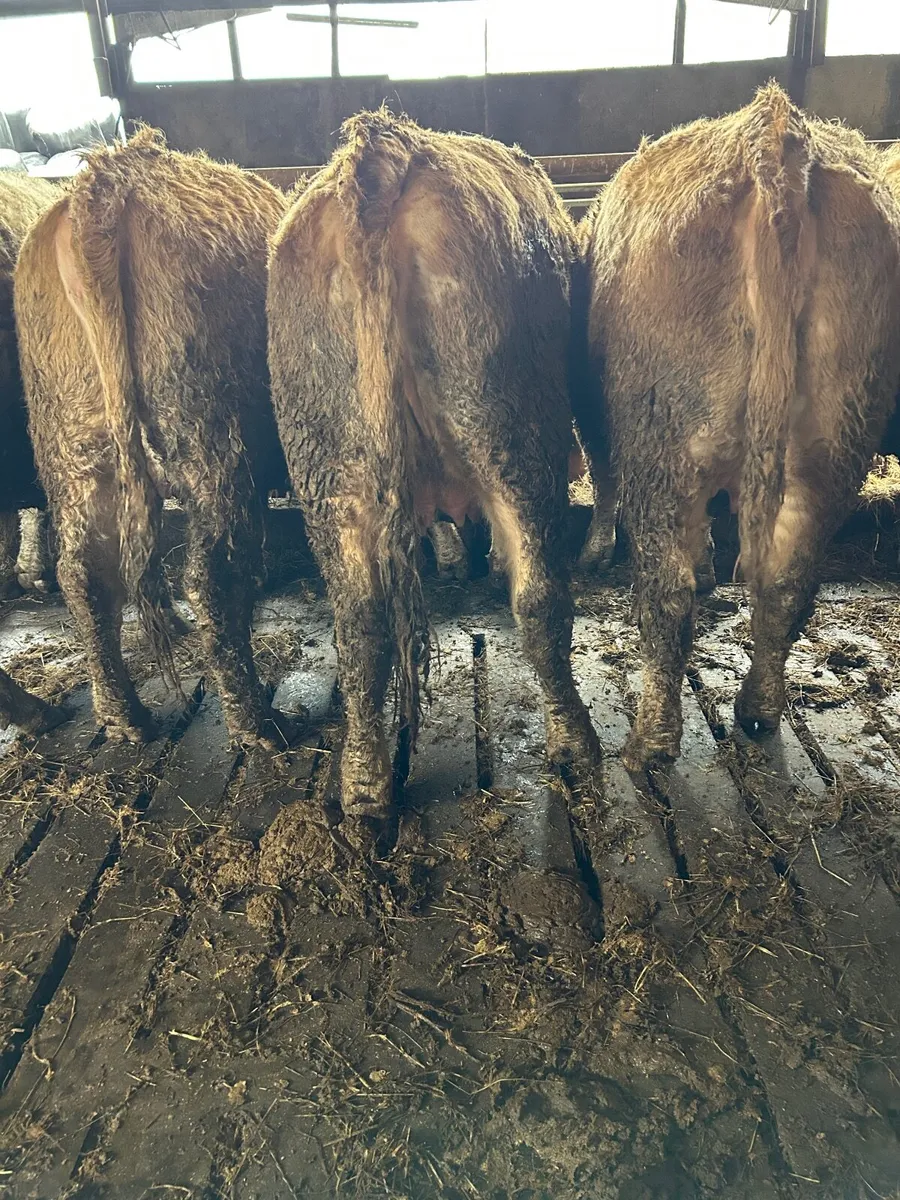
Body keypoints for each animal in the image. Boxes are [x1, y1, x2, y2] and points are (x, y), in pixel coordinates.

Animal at [14, 128, 298, 747]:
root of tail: (104, 185)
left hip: (76, 455)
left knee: (84, 575)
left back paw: (124, 716)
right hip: (214, 451)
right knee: (210, 579)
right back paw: (258, 722)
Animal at [267, 109, 601, 816]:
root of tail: (381, 155)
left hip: (327, 463)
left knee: (359, 620)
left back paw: (365, 786)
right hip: (510, 424)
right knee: (539, 597)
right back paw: (578, 748)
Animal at [579, 83, 900, 772]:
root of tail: (773, 136)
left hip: (662, 439)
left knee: (669, 594)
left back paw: (651, 743)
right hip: (832, 442)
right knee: (787, 582)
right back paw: (758, 709)